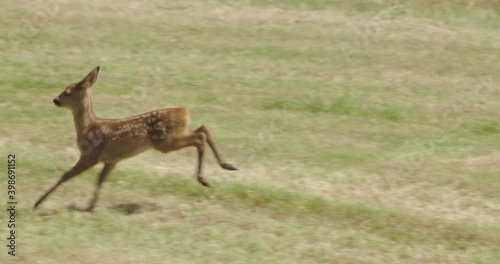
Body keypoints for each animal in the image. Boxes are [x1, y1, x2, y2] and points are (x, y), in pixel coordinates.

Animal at [34, 67, 237, 211]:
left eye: (67, 91)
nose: (55, 100)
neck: (87, 127)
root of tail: (184, 111)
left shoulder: (91, 155)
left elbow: (66, 175)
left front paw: (38, 202)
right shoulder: (111, 160)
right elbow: (100, 179)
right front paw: (90, 207)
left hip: (164, 141)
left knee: (199, 136)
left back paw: (204, 179)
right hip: (172, 136)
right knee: (203, 128)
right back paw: (227, 165)